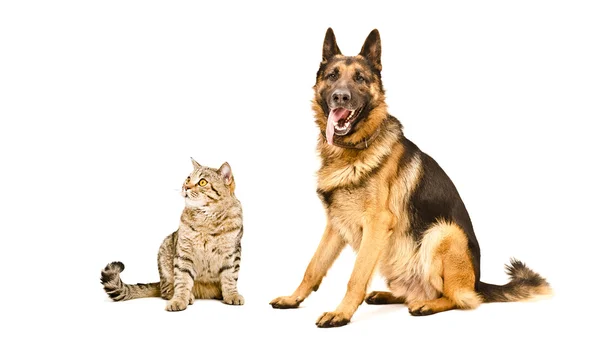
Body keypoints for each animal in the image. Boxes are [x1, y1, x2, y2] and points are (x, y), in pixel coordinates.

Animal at [101, 158, 244, 310]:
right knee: (166, 289)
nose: (186, 187)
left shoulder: (232, 253)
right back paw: (188, 296)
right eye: (188, 178)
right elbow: (182, 281)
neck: (206, 219)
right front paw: (179, 300)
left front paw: (232, 295)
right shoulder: (184, 253)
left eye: (202, 182)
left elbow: (230, 278)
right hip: (165, 250)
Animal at [270, 27, 552, 326]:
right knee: (414, 292)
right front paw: (293, 298)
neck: (353, 149)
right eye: (332, 76)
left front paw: (341, 313)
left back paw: (427, 305)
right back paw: (389, 295)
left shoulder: (377, 224)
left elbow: (356, 277)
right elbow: (313, 266)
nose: (340, 97)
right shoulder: (335, 224)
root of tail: (477, 281)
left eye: (360, 78)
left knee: (460, 298)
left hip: (443, 233)